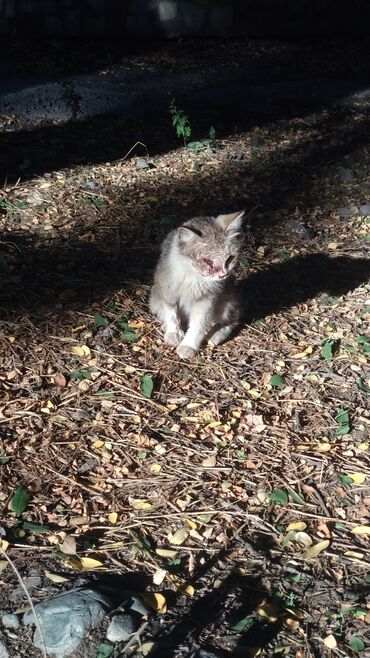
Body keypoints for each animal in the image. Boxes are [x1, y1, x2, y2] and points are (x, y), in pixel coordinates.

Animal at [149, 211, 244, 358]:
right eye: (208, 261)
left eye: (230, 259)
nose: (223, 275)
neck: (193, 277)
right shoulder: (167, 292)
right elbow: (172, 315)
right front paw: (173, 333)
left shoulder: (206, 301)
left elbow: (197, 325)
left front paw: (188, 345)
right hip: (154, 297)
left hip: (229, 302)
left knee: (233, 319)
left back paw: (216, 334)